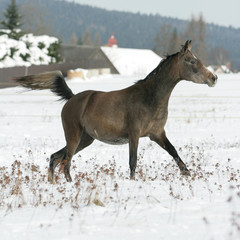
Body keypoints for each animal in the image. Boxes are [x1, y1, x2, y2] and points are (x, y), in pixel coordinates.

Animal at [15, 40, 218, 182]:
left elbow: (174, 153)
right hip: (73, 136)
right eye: (191, 61)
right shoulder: (134, 134)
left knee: (56, 158)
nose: (213, 78)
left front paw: (189, 175)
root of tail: (71, 98)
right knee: (66, 162)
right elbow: (133, 161)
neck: (149, 99)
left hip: (85, 139)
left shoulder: (157, 134)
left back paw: (53, 183)